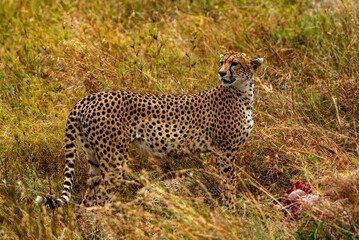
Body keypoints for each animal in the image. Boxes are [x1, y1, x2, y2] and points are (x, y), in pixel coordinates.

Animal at [41, 52, 264, 210]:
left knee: (89, 196)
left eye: (234, 63)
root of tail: (88, 97)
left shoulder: (221, 151)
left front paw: (226, 210)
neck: (243, 93)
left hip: (94, 156)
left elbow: (224, 181)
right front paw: (232, 212)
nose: (221, 73)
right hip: (115, 160)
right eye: (222, 63)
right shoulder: (226, 151)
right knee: (103, 195)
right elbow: (229, 183)